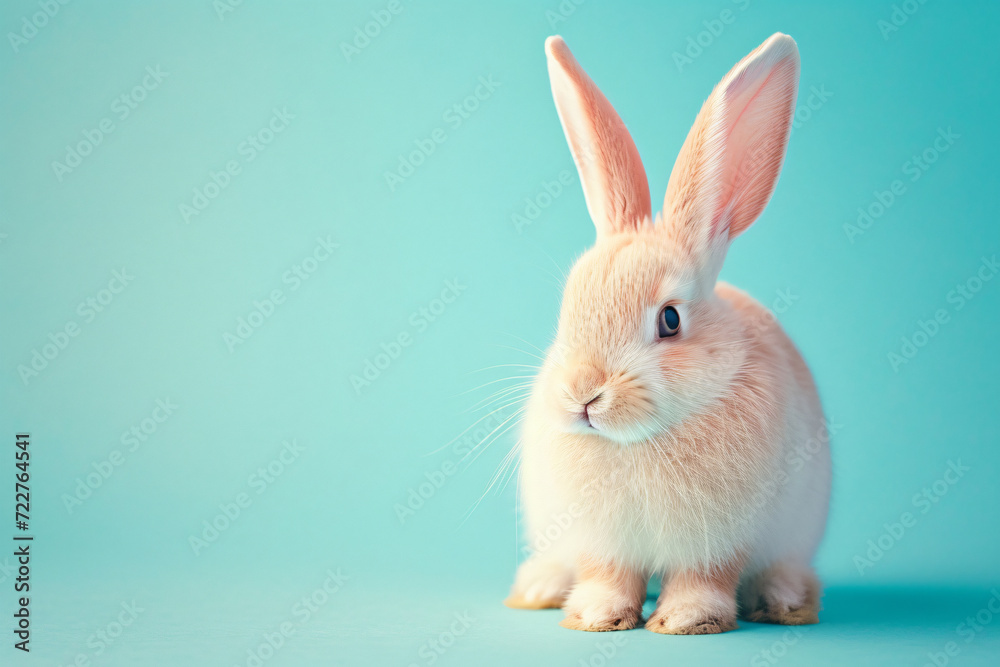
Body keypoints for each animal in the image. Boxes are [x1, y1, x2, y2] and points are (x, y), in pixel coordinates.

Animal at [503, 33, 831, 635]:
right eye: (568, 307)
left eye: (670, 320)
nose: (582, 393)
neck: (635, 442)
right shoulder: (599, 542)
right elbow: (607, 575)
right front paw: (595, 616)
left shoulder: (719, 542)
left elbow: (705, 580)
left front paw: (684, 621)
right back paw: (540, 588)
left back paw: (785, 601)